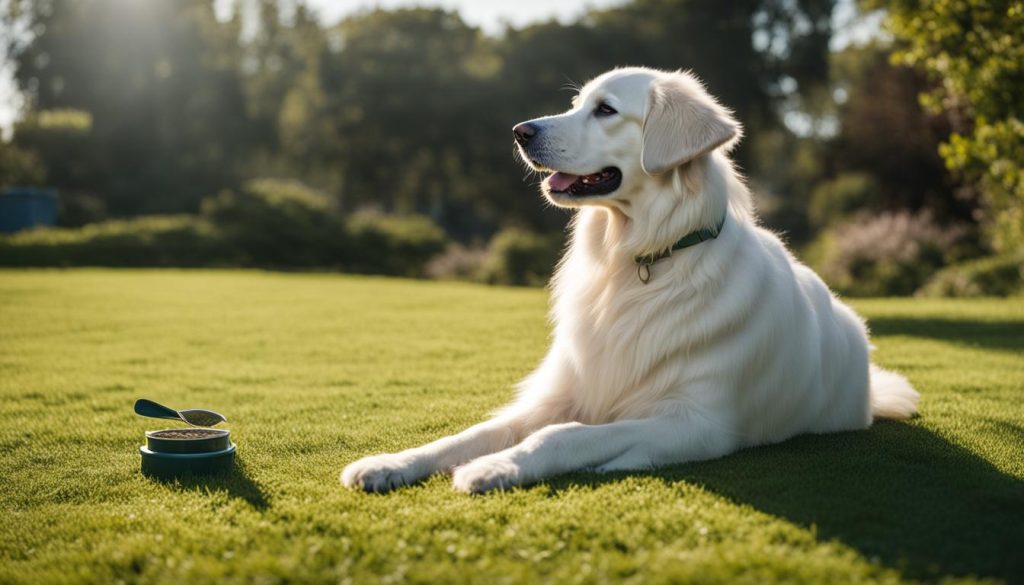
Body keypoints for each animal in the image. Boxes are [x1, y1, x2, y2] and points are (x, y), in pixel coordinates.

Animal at [342, 67, 921, 493]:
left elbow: (562, 436)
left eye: (606, 110)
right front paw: (390, 463)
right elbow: (473, 432)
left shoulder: (694, 422)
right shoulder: (563, 391)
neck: (635, 261)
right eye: (578, 103)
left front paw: (493, 468)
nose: (519, 132)